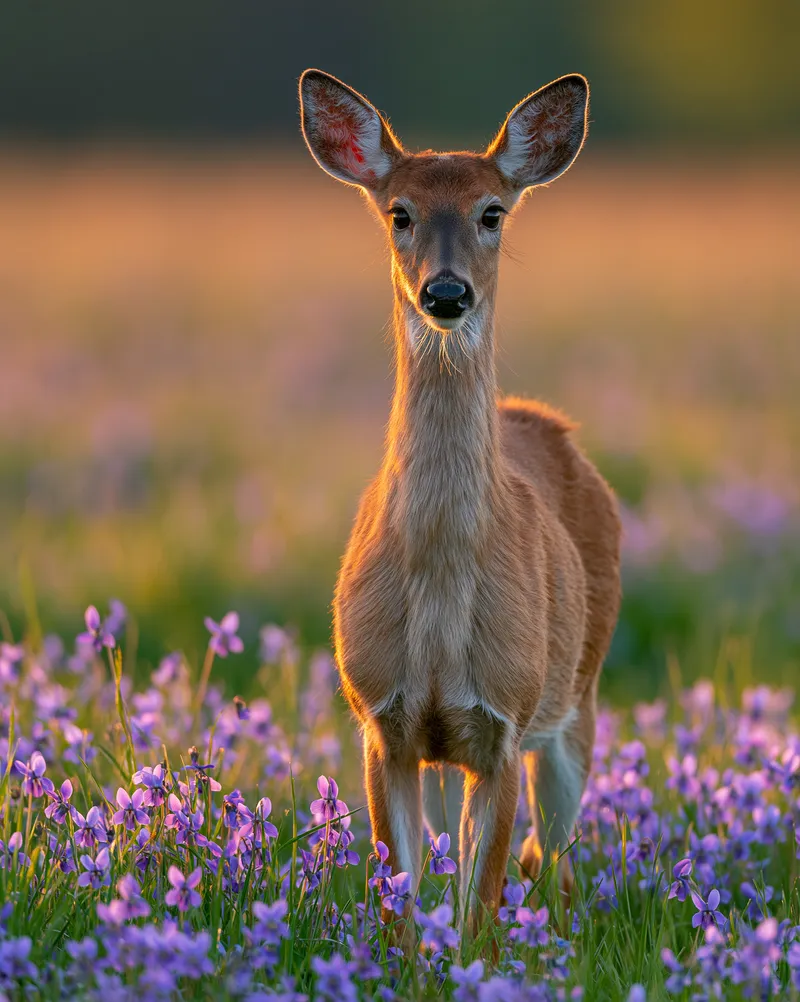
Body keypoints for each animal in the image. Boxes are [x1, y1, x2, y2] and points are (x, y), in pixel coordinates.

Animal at [299, 68, 621, 932]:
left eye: (492, 212)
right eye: (399, 212)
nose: (445, 292)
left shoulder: (503, 721)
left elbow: (478, 914)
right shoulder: (383, 720)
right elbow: (400, 907)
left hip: (577, 697)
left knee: (557, 862)